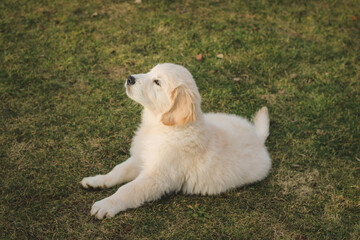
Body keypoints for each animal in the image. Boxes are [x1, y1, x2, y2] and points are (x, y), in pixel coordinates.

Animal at [81, 63, 272, 219]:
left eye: (157, 82)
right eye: (150, 72)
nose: (130, 78)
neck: (162, 127)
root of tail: (257, 136)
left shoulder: (156, 177)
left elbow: (128, 189)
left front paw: (106, 205)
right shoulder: (140, 158)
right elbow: (117, 171)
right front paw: (96, 181)